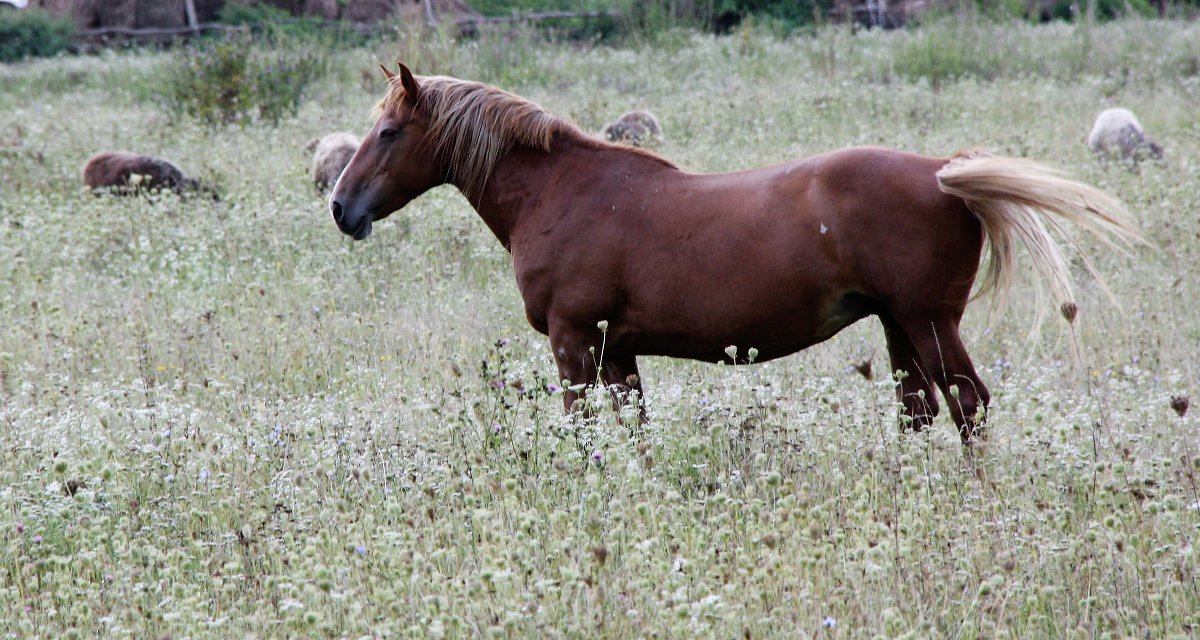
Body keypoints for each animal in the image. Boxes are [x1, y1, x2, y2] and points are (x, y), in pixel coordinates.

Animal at [331, 63, 1142, 439]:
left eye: (389, 133)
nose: (342, 208)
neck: (562, 193)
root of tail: (942, 171)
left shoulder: (575, 343)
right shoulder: (618, 353)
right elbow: (634, 434)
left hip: (928, 323)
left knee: (968, 405)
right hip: (899, 326)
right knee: (919, 412)